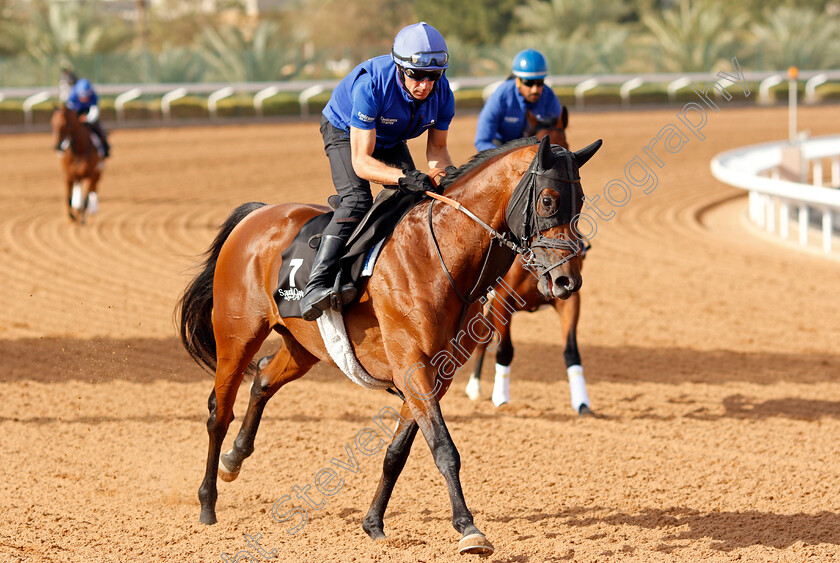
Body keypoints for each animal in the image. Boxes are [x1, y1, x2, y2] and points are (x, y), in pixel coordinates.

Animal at [177, 135, 600, 556]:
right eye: (548, 201)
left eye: (579, 202)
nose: (567, 281)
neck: (438, 256)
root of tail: (257, 215)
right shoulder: (414, 367)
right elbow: (444, 448)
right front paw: (468, 529)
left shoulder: (434, 375)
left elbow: (397, 452)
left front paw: (374, 524)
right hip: (237, 336)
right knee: (219, 411)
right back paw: (207, 504)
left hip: (304, 346)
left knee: (263, 378)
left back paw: (233, 459)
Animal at [462, 104, 592, 414]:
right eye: (547, 200)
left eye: (580, 198)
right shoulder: (502, 301)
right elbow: (504, 349)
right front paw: (501, 398)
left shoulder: (569, 295)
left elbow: (571, 350)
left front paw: (582, 402)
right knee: (483, 337)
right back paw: (474, 386)